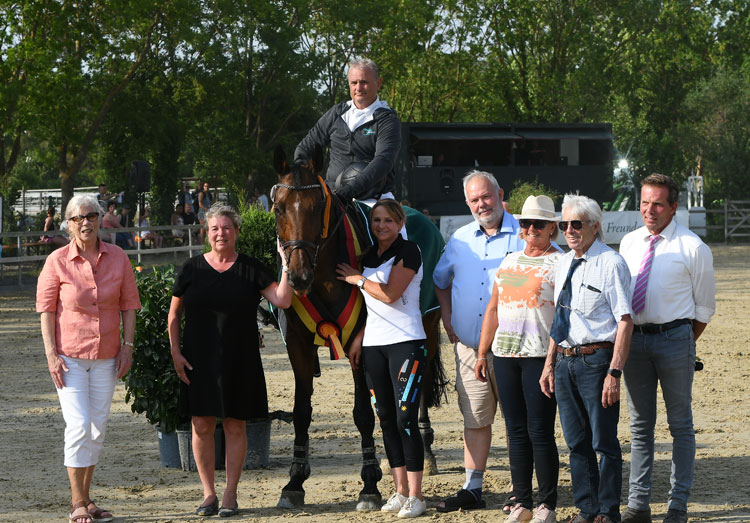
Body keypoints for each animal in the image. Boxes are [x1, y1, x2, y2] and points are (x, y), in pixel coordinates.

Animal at [274, 145, 446, 510]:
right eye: (278, 207)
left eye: (318, 207)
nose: (298, 277)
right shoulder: (297, 344)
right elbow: (301, 412)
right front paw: (294, 482)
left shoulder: (359, 343)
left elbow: (364, 413)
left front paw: (369, 484)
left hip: (428, 323)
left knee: (421, 386)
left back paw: (426, 450)